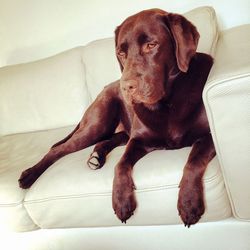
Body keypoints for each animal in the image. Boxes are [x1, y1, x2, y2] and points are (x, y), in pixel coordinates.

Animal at [19, 8, 215, 227]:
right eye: (121, 53)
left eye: (151, 45)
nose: (126, 87)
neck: (167, 102)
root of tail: (105, 88)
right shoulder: (138, 140)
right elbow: (120, 164)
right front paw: (121, 201)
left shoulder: (209, 135)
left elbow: (193, 160)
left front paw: (189, 203)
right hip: (97, 124)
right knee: (57, 150)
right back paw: (30, 174)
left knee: (110, 139)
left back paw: (96, 156)